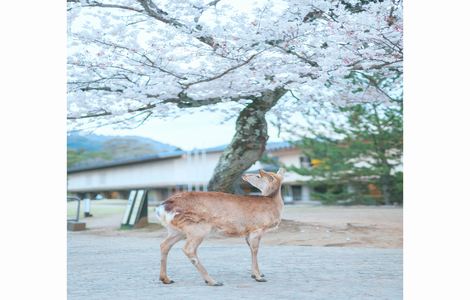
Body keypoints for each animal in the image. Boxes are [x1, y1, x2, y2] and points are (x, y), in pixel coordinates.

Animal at [156, 168, 284, 288]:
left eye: (258, 176)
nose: (244, 175)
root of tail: (162, 208)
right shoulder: (256, 228)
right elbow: (255, 250)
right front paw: (259, 277)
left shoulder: (248, 232)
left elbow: (251, 249)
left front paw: (256, 274)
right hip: (197, 227)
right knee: (188, 249)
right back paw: (213, 281)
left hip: (177, 230)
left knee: (164, 245)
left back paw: (166, 279)